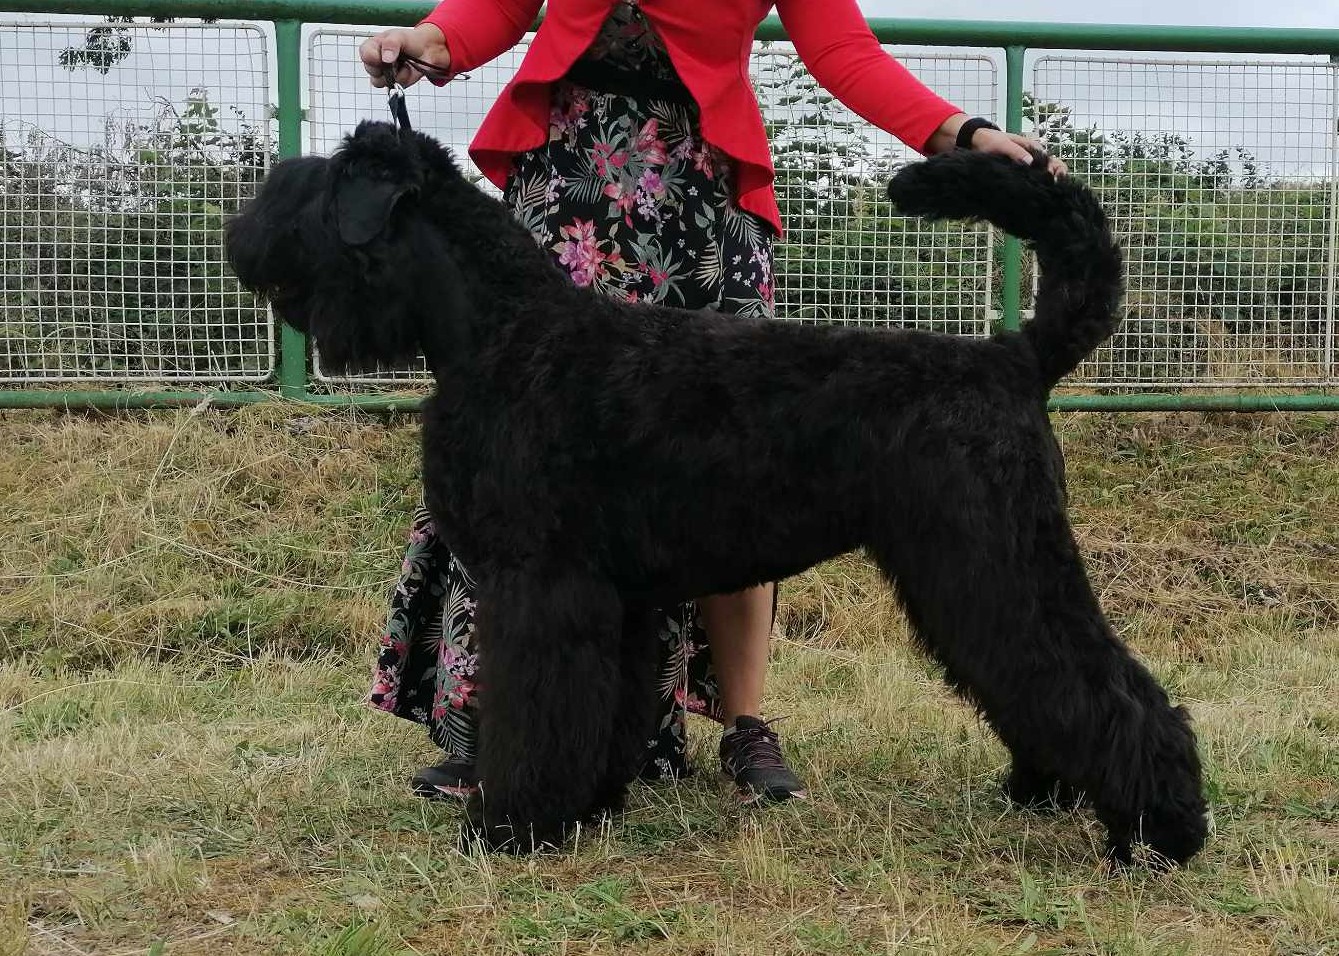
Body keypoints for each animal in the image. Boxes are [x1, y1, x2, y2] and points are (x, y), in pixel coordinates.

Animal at [225, 120, 1208, 866]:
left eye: (311, 190)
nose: (243, 238)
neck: (507, 332)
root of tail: (1017, 356)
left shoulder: (540, 583)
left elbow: (536, 710)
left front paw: (510, 826)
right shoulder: (614, 597)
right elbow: (601, 708)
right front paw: (589, 807)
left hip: (991, 560)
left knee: (1103, 687)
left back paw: (1158, 832)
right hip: (978, 569)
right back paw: (1046, 790)